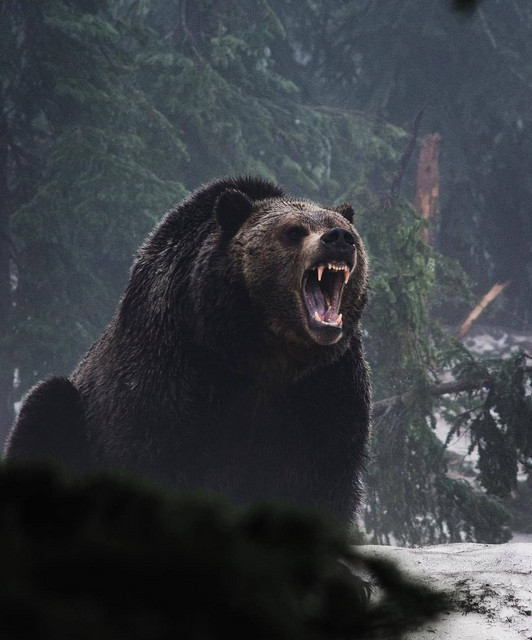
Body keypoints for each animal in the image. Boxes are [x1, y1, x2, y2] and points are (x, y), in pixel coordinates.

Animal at [5, 176, 370, 524]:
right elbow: (156, 455)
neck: (262, 349)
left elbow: (322, 475)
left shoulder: (324, 386)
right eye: (294, 231)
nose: (339, 238)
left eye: (343, 227)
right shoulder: (174, 365)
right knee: (46, 404)